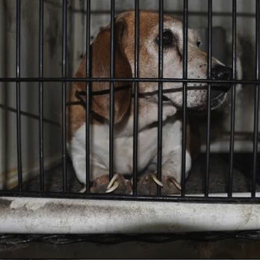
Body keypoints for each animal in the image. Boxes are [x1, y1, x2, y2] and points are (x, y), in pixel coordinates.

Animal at [67, 10, 232, 195]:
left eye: (198, 43)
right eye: (166, 37)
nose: (226, 74)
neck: (131, 125)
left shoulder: (179, 149)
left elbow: (172, 164)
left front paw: (161, 181)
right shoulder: (79, 151)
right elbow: (92, 167)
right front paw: (105, 182)